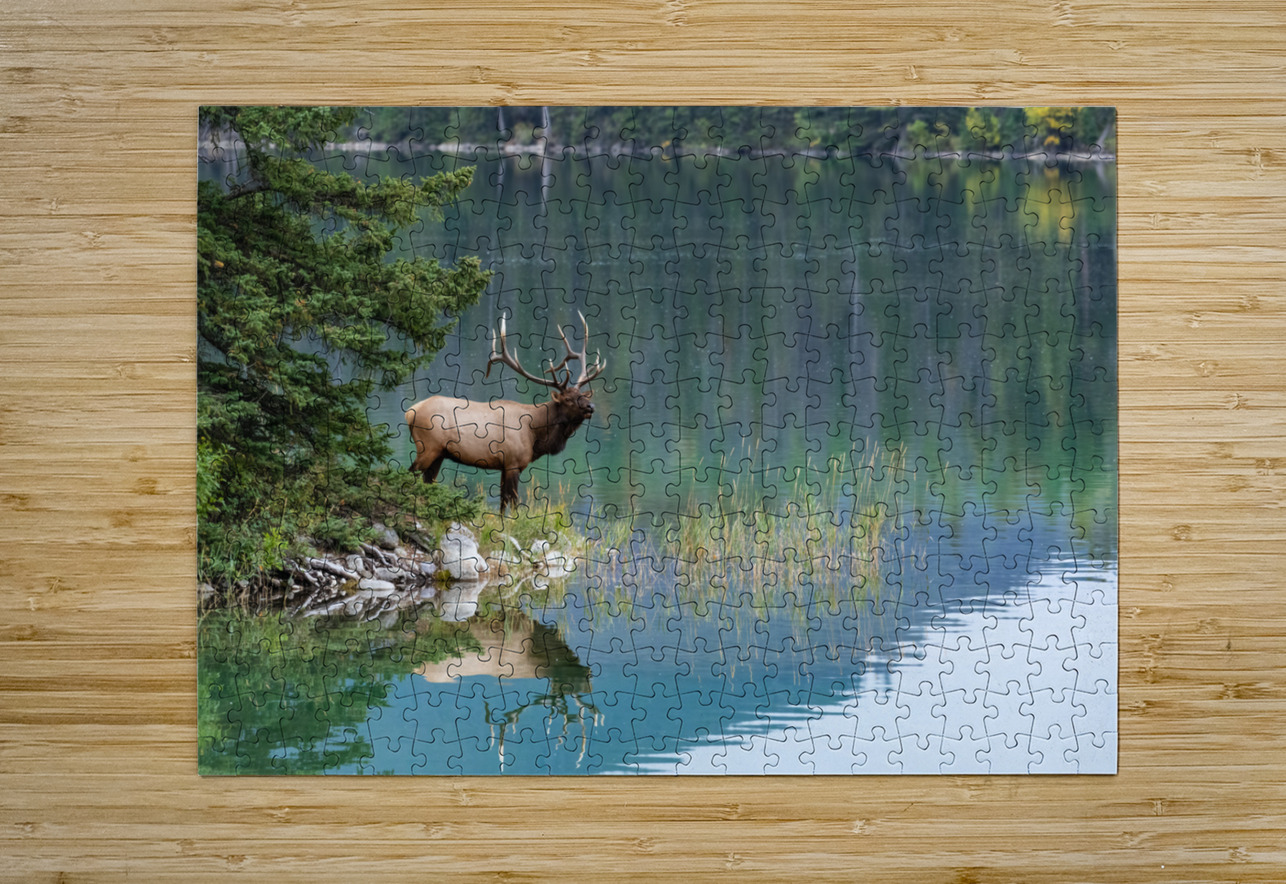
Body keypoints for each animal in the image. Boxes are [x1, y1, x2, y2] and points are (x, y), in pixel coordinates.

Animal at [405, 312, 606, 513]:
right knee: (410, 474)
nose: (591, 407)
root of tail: (410, 412)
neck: (536, 433)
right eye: (568, 399)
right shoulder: (513, 463)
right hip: (428, 447)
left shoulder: (504, 466)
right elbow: (514, 501)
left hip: (438, 453)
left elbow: (503, 502)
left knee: (427, 481)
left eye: (582, 395)